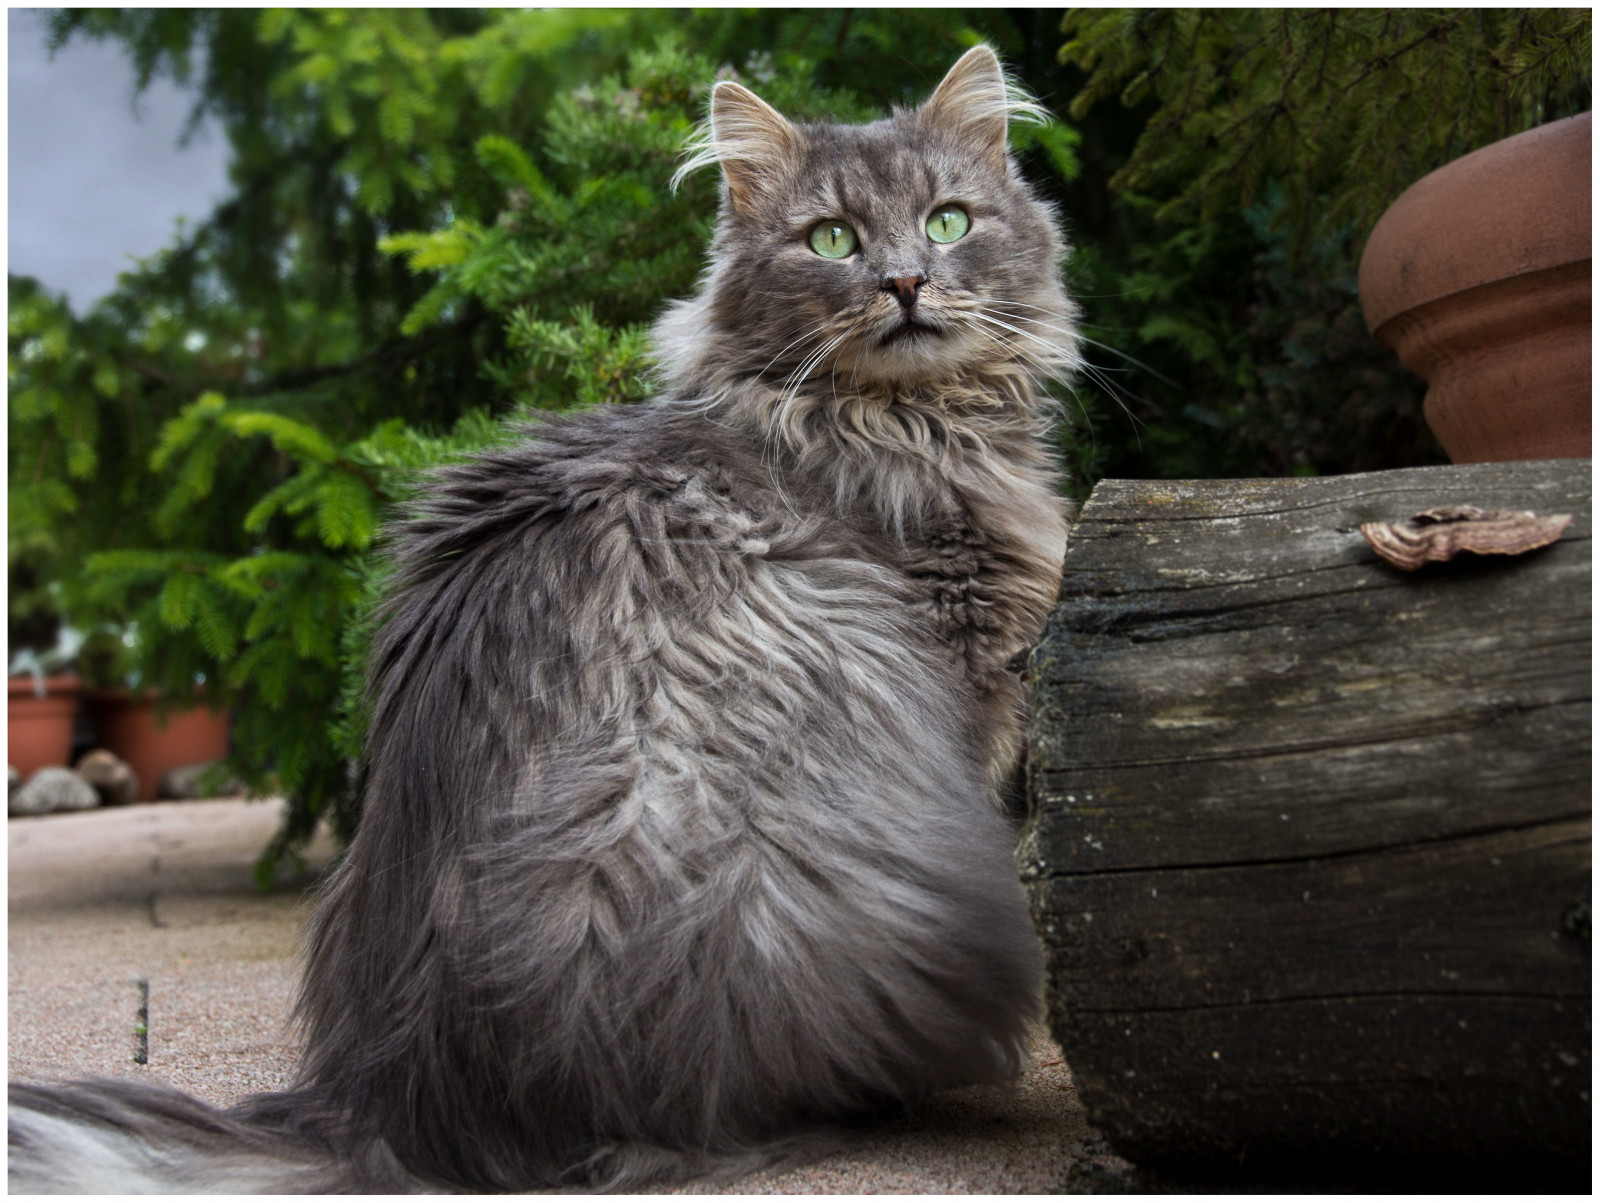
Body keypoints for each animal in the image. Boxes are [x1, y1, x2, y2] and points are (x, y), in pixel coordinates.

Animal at [9, 46, 1075, 1196]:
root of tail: (397, 1102)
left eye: (948, 222)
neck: (902, 425)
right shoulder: (964, 683)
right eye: (831, 239)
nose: (907, 281)